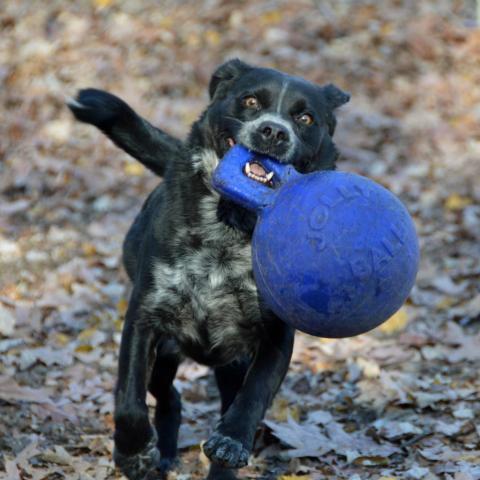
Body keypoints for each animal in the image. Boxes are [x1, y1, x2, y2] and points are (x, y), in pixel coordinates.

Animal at [67, 60, 350, 480]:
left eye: (305, 118)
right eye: (250, 101)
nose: (273, 131)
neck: (229, 228)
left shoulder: (275, 337)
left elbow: (252, 398)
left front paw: (230, 442)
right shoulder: (145, 317)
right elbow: (128, 398)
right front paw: (133, 453)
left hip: (229, 364)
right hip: (166, 354)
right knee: (169, 396)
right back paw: (162, 454)